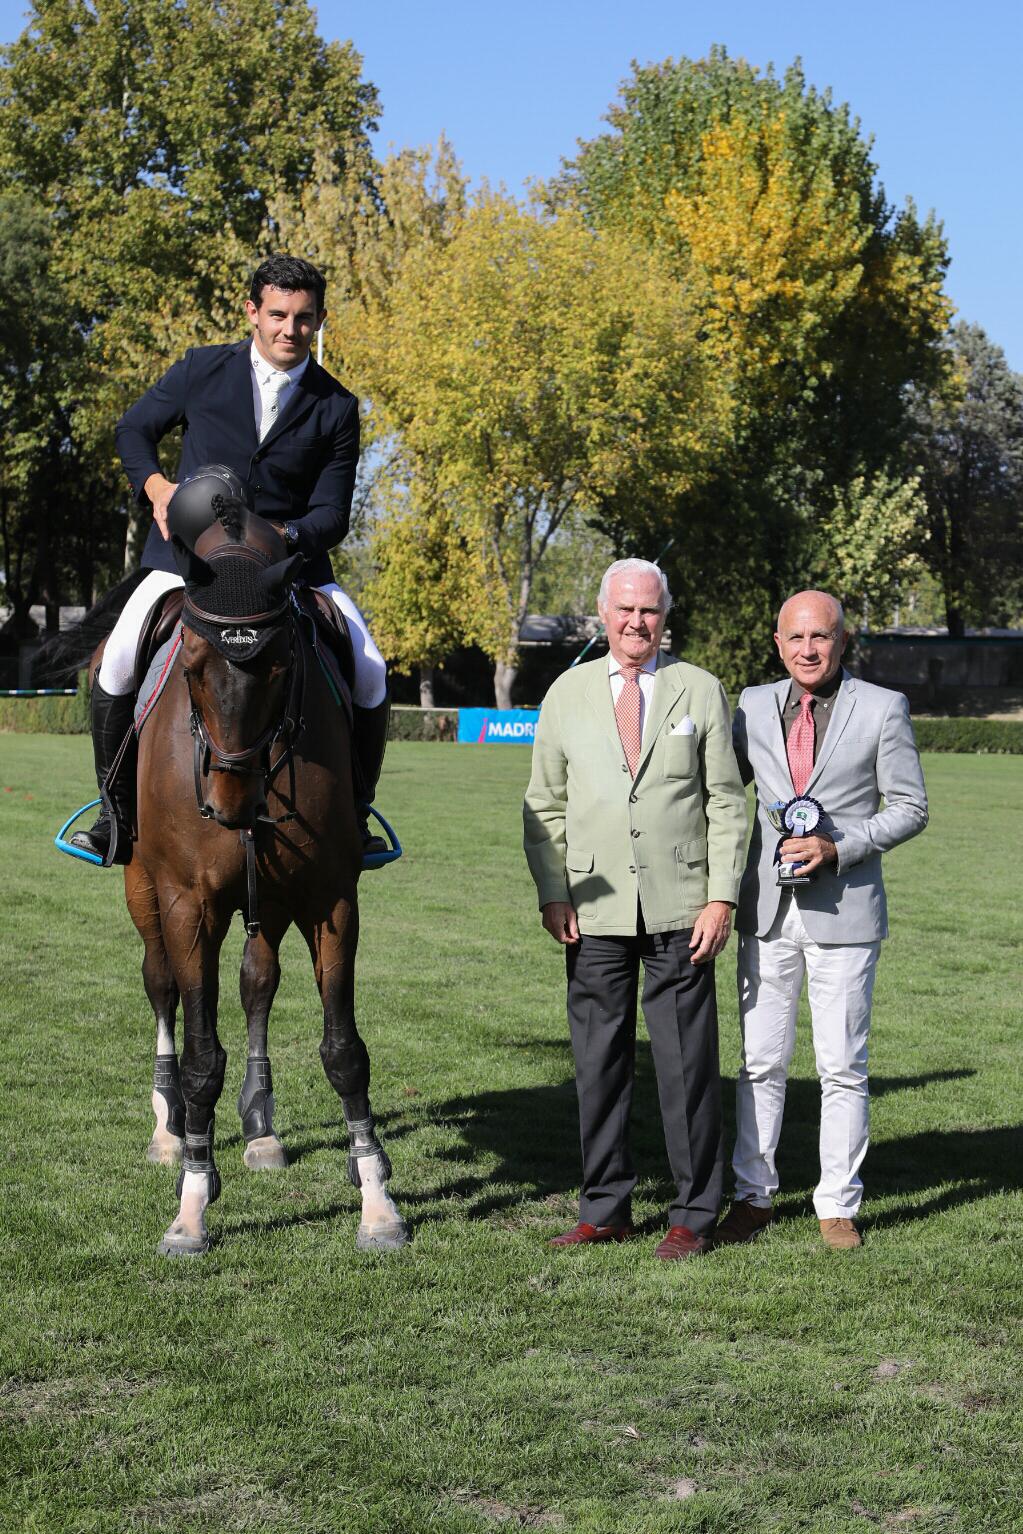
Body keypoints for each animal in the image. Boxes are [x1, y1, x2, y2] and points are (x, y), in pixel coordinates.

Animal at [49, 503, 407, 1257]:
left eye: (281, 663)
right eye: (189, 662)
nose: (231, 802)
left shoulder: (331, 901)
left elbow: (343, 1050)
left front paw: (376, 1201)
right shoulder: (190, 906)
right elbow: (199, 1056)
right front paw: (191, 1203)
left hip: (267, 898)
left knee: (257, 984)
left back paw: (262, 1128)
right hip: (143, 890)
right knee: (160, 986)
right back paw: (169, 1129)